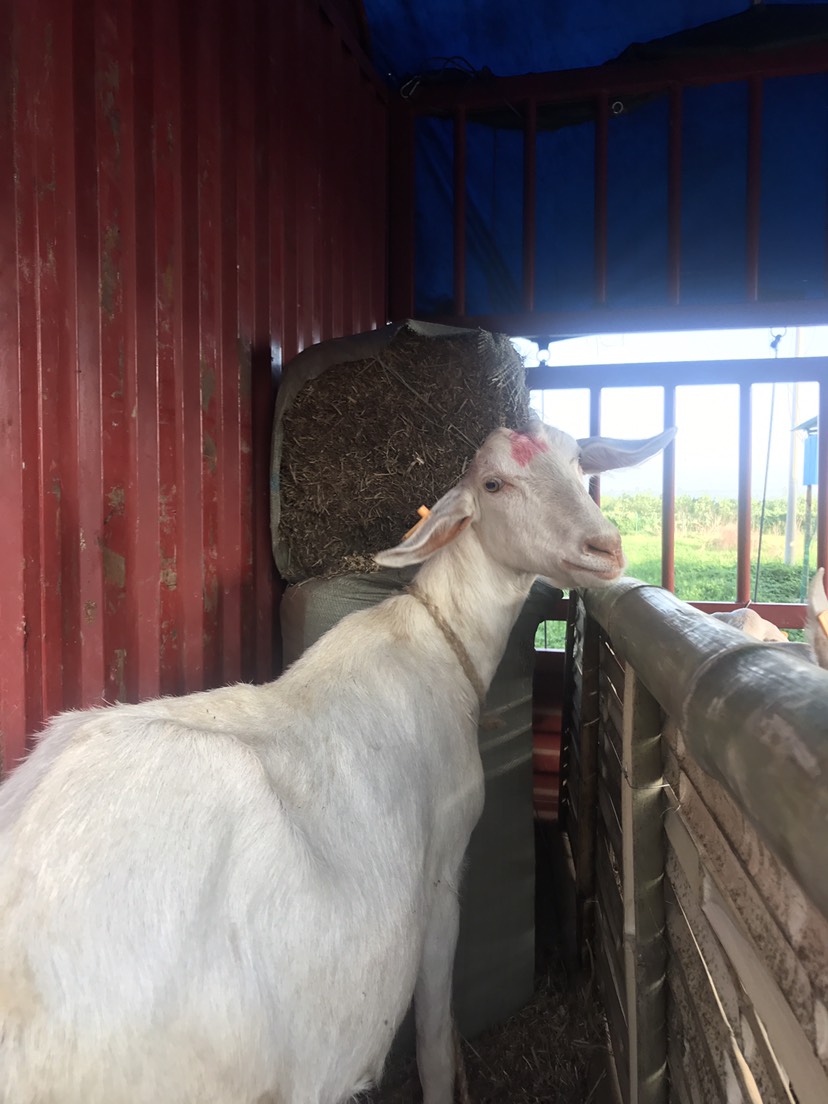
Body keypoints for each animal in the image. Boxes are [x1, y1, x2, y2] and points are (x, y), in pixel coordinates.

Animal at [0, 419, 675, 1104]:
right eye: (493, 483)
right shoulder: (441, 874)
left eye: (578, 462)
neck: (439, 641)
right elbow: (435, 1039)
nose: (604, 547)